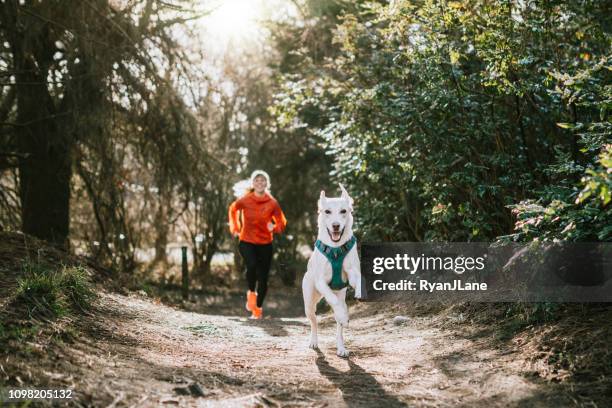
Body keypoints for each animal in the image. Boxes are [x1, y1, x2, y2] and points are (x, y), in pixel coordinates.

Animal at [302, 184, 360, 356]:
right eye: (327, 211)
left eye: (343, 211)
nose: (336, 225)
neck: (335, 248)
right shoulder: (321, 282)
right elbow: (332, 299)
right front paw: (342, 314)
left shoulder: (353, 272)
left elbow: (358, 280)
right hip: (309, 303)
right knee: (314, 321)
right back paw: (314, 341)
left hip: (340, 295)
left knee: (339, 326)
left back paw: (341, 347)